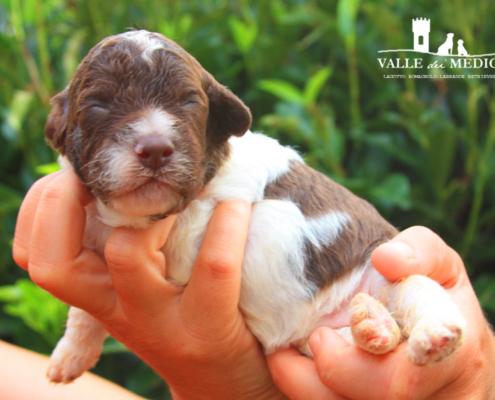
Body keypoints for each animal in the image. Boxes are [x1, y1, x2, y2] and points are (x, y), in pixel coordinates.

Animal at [44, 29, 466, 382]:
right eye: (98, 105)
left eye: (188, 102)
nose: (156, 149)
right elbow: (84, 310)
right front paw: (69, 357)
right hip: (318, 339)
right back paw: (373, 326)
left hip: (384, 268)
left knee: (420, 293)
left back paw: (433, 336)